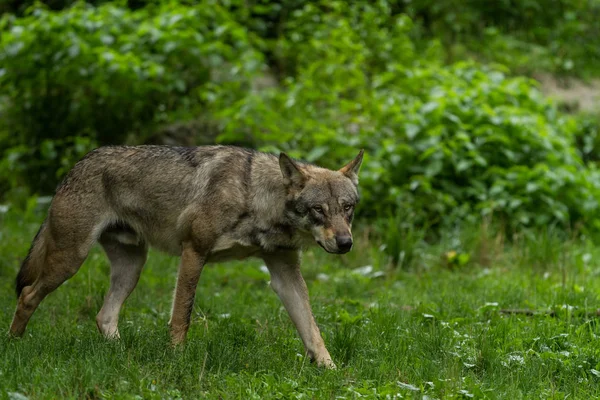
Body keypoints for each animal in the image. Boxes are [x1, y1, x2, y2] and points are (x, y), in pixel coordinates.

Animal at [9, 145, 364, 368]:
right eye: (318, 210)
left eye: (347, 208)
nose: (346, 243)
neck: (257, 197)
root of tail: (76, 165)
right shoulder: (194, 252)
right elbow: (183, 315)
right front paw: (176, 359)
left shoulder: (284, 274)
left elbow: (312, 329)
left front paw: (331, 371)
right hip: (71, 260)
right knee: (27, 294)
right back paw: (14, 345)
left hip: (132, 267)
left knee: (104, 316)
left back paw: (122, 354)